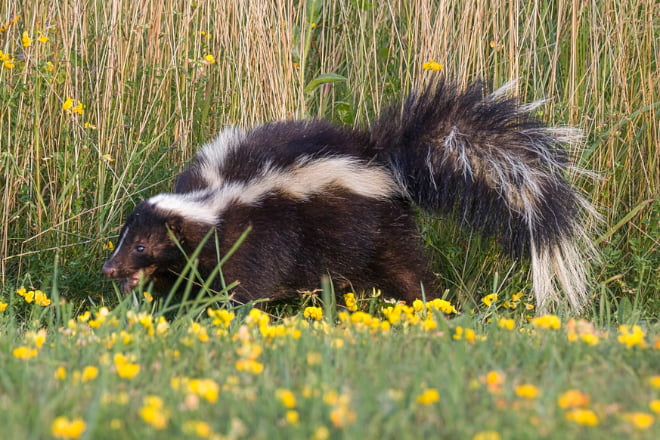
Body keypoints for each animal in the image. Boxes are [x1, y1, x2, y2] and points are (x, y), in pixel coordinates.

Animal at [103, 80, 600, 312]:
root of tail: (379, 157)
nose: (110, 268)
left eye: (142, 245)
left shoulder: (256, 232)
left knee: (404, 269)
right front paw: (153, 295)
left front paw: (220, 311)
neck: (214, 200)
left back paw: (431, 306)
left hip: (377, 226)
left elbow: (244, 282)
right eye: (125, 239)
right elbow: (183, 279)